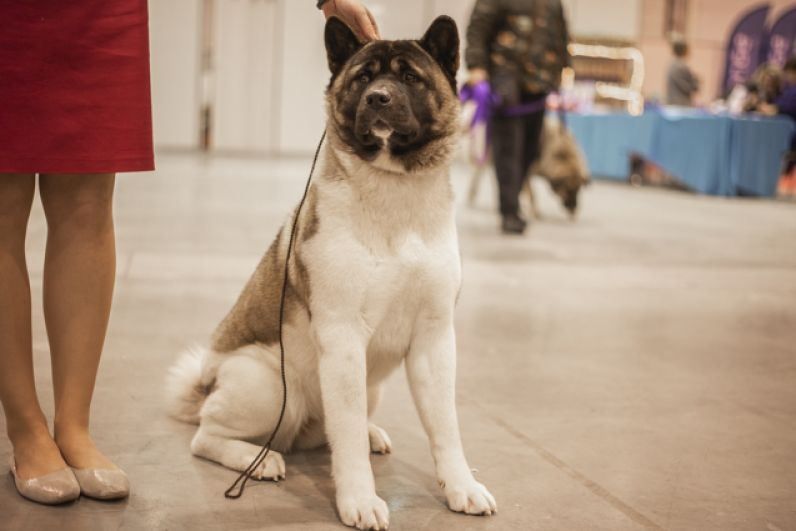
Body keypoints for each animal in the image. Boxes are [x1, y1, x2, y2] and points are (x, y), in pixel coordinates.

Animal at [165, 14, 494, 528]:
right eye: (362, 78)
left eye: (409, 77)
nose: (379, 98)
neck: (393, 195)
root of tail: (204, 384)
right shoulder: (342, 338)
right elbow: (349, 441)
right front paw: (359, 500)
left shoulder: (434, 340)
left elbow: (445, 428)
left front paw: (462, 486)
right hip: (269, 387)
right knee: (206, 435)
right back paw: (256, 459)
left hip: (365, 389)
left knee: (337, 430)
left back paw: (369, 433)